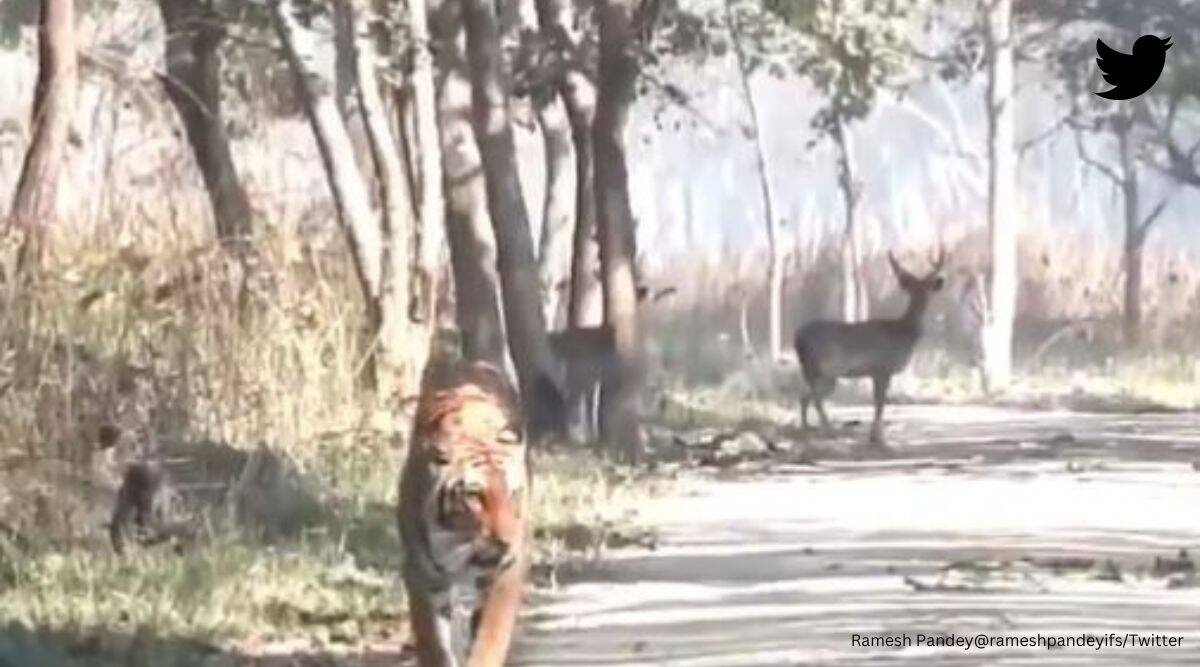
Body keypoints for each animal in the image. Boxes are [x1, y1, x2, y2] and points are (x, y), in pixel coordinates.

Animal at [398, 360, 531, 667]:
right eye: (474, 495)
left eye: (513, 493)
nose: (505, 542)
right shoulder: (422, 575)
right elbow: (434, 643)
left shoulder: (507, 571)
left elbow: (490, 637)